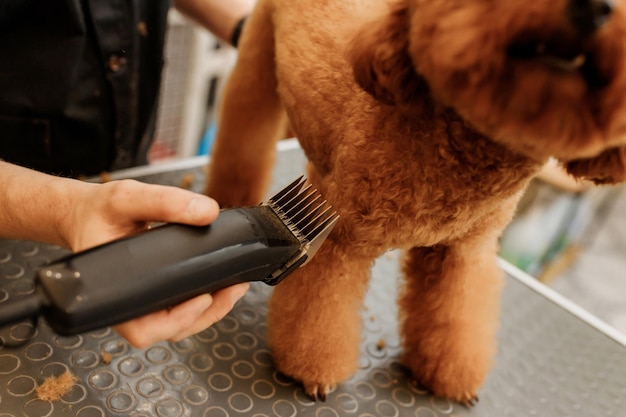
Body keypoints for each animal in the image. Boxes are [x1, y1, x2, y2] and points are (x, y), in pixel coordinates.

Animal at [207, 0, 624, 404]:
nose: (593, 7)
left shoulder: (461, 253)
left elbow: (455, 316)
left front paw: (449, 374)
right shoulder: (340, 244)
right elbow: (318, 312)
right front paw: (310, 371)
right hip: (256, 65)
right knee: (244, 134)